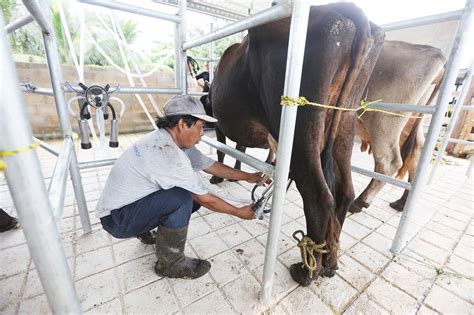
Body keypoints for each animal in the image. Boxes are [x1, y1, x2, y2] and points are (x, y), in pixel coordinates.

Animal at [209, 2, 384, 288]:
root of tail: (341, 10)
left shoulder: (220, 124)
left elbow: (223, 150)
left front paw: (218, 178)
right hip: (344, 120)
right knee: (344, 191)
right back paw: (330, 262)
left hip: (302, 128)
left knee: (318, 196)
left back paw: (307, 271)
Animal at [348, 39, 444, 214]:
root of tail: (434, 51)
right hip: (410, 123)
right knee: (415, 156)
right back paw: (402, 202)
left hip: (382, 122)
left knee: (389, 162)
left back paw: (359, 202)